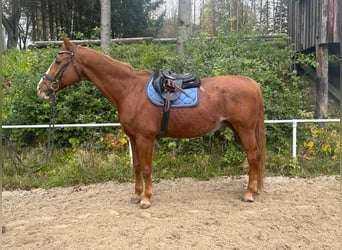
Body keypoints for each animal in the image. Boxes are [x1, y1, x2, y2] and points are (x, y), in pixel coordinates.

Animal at [38, 36, 268, 208]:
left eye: (58, 61)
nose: (41, 88)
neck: (130, 89)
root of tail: (252, 83)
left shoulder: (145, 138)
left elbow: (147, 168)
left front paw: (146, 199)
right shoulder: (133, 137)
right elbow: (137, 166)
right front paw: (136, 195)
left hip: (244, 129)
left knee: (253, 156)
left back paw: (249, 193)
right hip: (238, 129)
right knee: (255, 157)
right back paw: (255, 190)